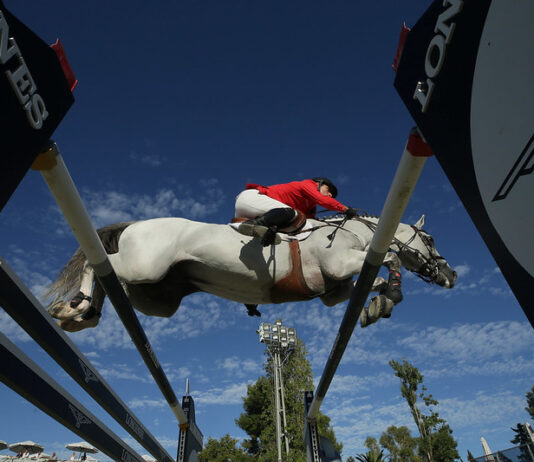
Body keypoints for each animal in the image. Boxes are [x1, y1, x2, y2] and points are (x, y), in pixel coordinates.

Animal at [45, 214, 457, 332]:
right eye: (431, 239)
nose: (451, 275)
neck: (355, 231)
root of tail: (133, 224)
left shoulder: (332, 291)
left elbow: (376, 278)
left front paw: (377, 304)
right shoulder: (339, 264)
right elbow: (390, 261)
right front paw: (388, 299)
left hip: (153, 296)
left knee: (110, 282)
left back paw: (83, 313)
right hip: (144, 266)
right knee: (96, 264)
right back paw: (74, 307)